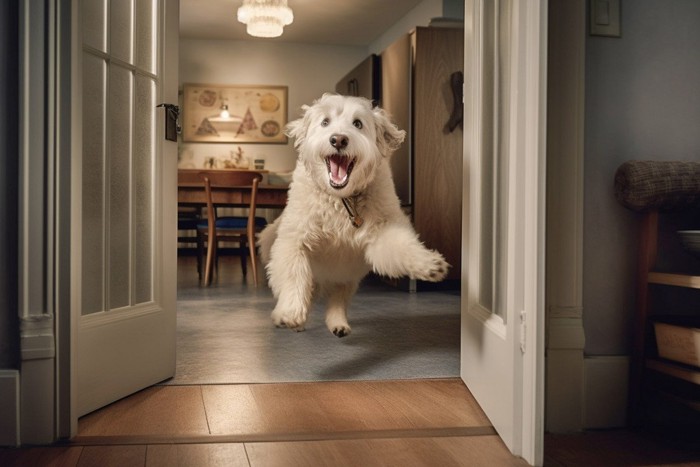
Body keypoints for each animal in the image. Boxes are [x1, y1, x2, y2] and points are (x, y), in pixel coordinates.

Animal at [258, 94, 448, 336]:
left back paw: (338, 324)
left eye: (357, 123)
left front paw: (427, 263)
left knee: (338, 299)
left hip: (347, 276)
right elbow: (294, 273)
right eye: (325, 122)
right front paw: (291, 311)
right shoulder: (294, 240)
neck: (342, 200)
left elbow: (402, 246)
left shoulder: (384, 231)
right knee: (307, 286)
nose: (338, 140)